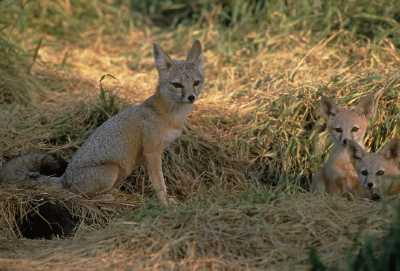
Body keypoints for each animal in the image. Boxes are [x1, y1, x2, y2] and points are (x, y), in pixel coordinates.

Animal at [0, 39, 205, 206]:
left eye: (196, 83)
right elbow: (159, 184)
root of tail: (65, 178)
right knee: (81, 196)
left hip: (122, 171)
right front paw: (165, 205)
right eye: (177, 85)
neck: (170, 115)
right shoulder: (152, 152)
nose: (191, 97)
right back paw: (107, 197)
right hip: (112, 170)